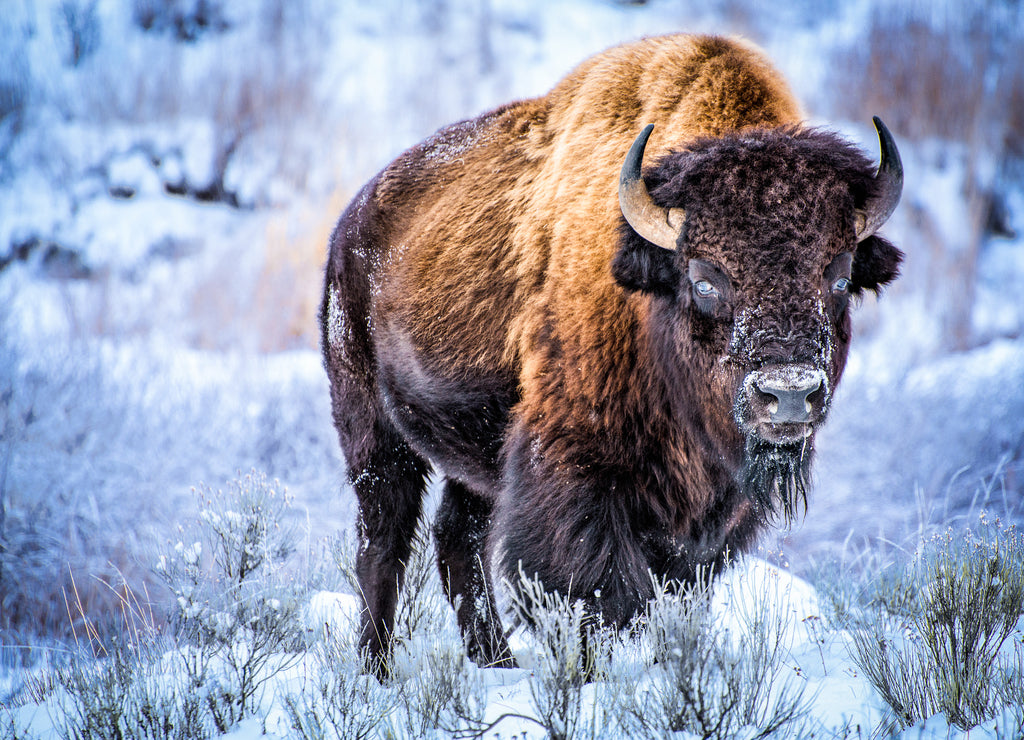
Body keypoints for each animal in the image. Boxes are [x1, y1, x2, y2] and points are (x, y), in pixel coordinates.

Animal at [319, 31, 905, 675]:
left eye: (839, 275)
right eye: (704, 278)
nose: (790, 395)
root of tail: (351, 225)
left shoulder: (714, 511)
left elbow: (673, 586)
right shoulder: (576, 471)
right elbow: (603, 591)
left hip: (473, 456)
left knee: (457, 540)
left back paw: (496, 661)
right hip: (373, 432)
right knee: (384, 544)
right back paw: (375, 667)